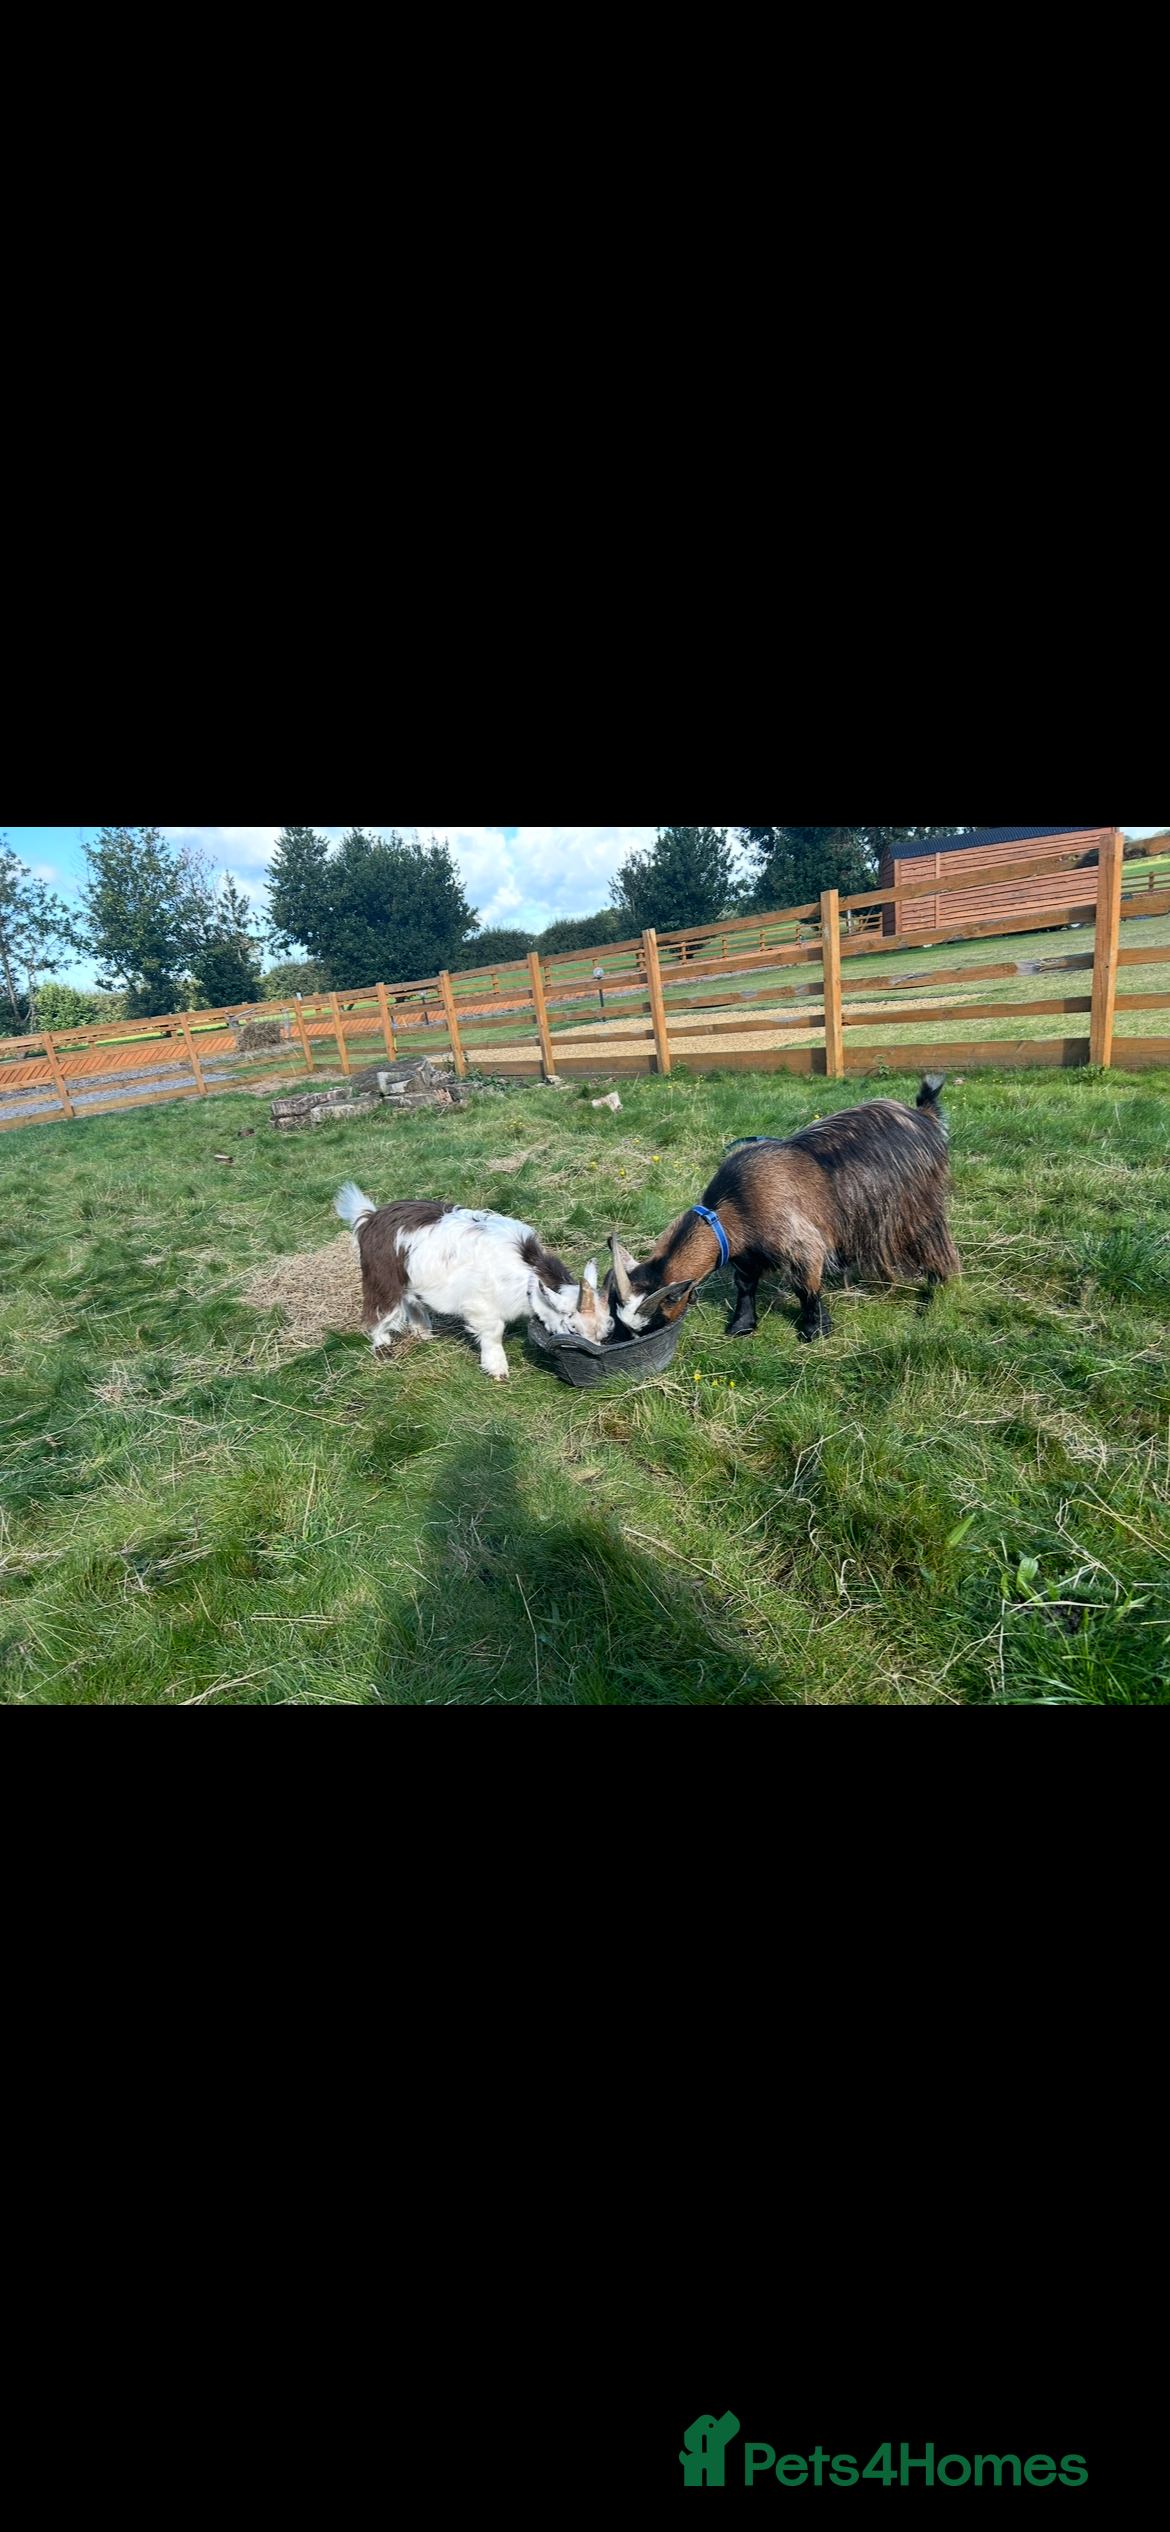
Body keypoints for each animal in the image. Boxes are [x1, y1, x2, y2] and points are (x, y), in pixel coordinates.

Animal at [335, 1184, 612, 1379]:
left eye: (606, 1330)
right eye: (573, 1328)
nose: (593, 1354)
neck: (524, 1268)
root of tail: (370, 1218)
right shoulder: (481, 1306)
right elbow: (493, 1333)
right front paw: (497, 1369)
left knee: (413, 1302)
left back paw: (424, 1333)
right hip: (382, 1277)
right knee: (380, 1310)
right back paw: (382, 1345)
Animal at [605, 1076, 960, 1345]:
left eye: (653, 1323)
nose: (617, 1344)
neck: (732, 1208)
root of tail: (922, 1114)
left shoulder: (801, 1243)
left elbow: (806, 1288)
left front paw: (815, 1330)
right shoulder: (746, 1254)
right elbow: (745, 1285)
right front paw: (741, 1325)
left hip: (916, 1206)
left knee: (933, 1240)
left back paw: (937, 1285)